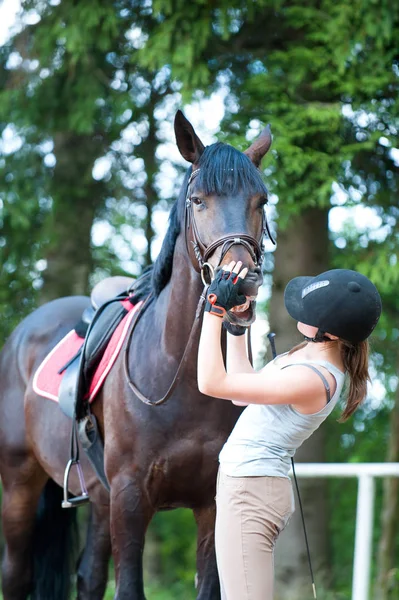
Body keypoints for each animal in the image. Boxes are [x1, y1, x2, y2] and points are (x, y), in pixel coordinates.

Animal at [0, 110, 274, 596]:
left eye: (260, 200)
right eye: (198, 201)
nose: (240, 286)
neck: (181, 378)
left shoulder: (211, 502)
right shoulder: (130, 498)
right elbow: (129, 587)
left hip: (97, 498)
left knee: (88, 576)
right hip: (19, 485)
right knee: (16, 575)